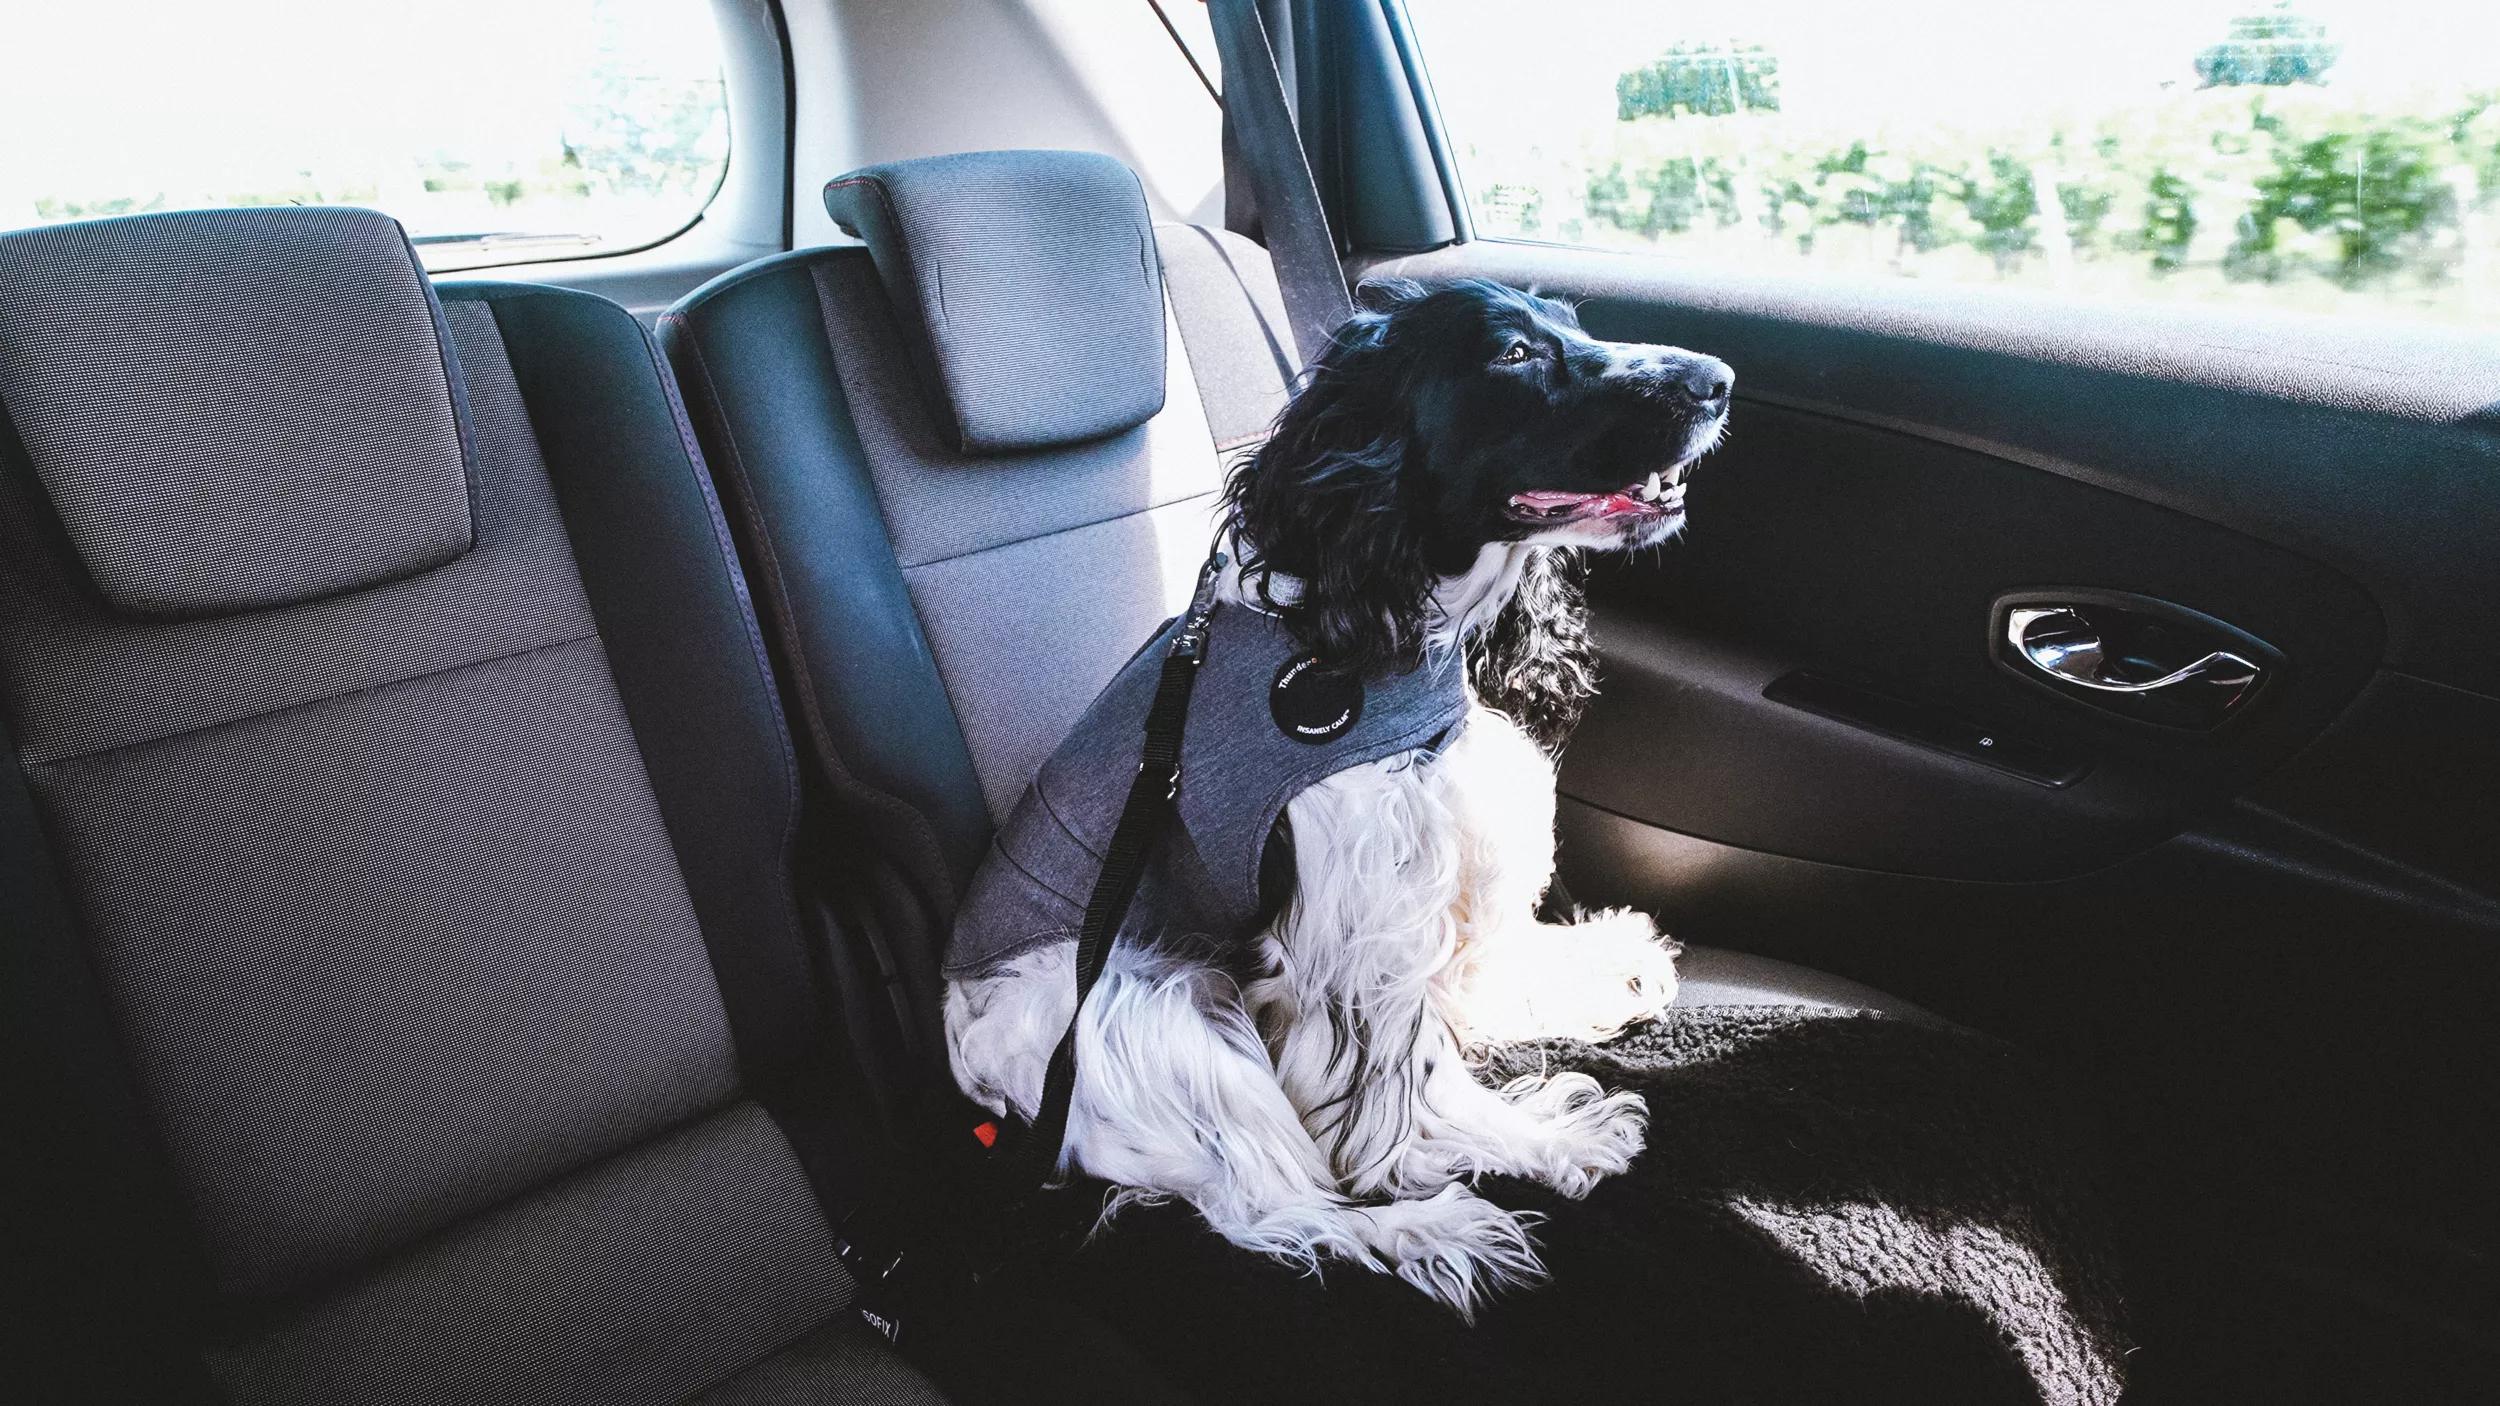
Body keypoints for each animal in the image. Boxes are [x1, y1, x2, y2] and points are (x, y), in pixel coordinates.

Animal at [945, 276, 1730, 1310]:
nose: (1718, 379)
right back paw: (1429, 1230)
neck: (1379, 618)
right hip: (1159, 1002)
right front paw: (1536, 1140)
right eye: (1515, 354)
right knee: (1268, 1203)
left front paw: (1603, 965)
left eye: (1575, 322)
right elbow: (1412, 1082)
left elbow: (1481, 974)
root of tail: (970, 1068)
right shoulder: (1360, 930)